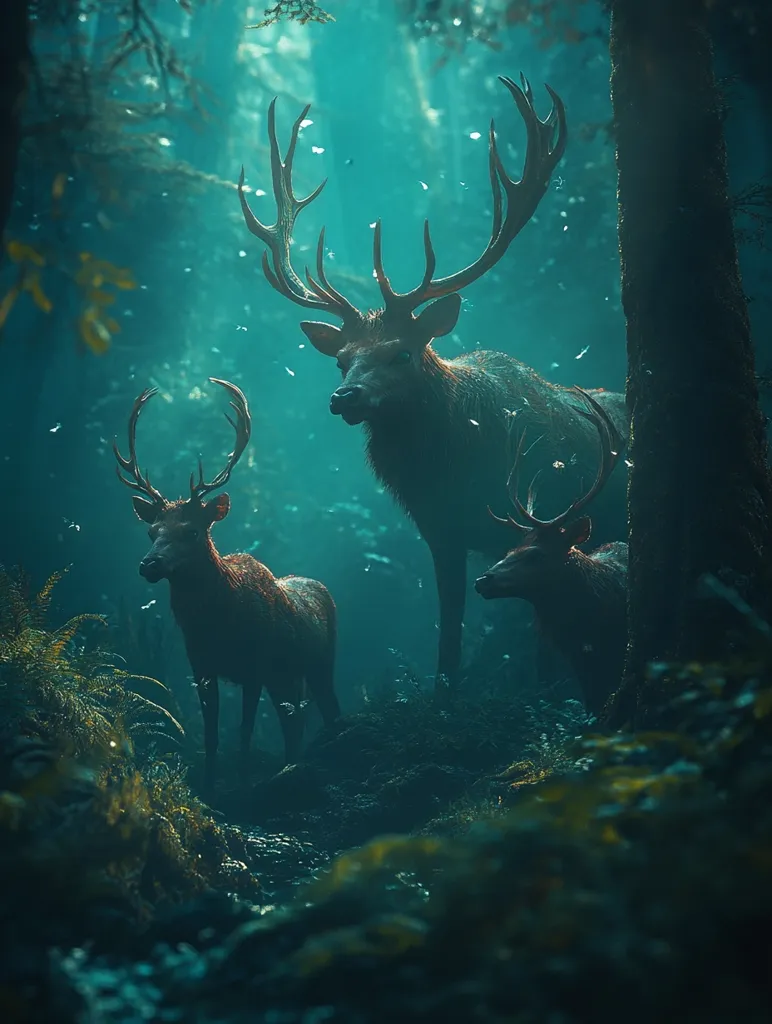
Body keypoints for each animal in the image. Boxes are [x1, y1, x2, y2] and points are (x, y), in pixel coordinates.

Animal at [113, 377, 341, 787]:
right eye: (152, 531)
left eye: (192, 531)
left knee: (327, 713)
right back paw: (292, 766)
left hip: (319, 663)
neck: (219, 623)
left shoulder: (254, 666)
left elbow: (245, 731)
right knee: (295, 722)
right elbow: (212, 734)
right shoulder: (201, 667)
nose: (148, 564)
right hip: (287, 676)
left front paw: (244, 780)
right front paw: (208, 786)